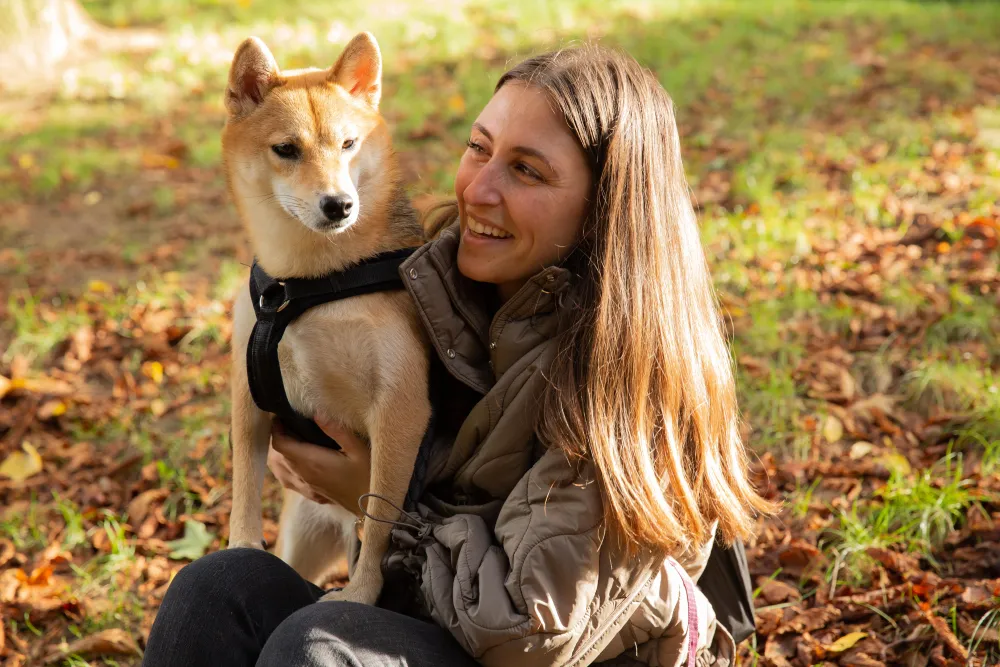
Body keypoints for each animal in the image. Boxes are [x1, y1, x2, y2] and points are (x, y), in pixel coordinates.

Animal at [221, 32, 431, 604]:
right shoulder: (248, 396)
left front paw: (360, 594)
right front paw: (240, 549)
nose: (339, 205)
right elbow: (244, 489)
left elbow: (379, 520)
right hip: (303, 536)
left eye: (348, 144)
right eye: (286, 150)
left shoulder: (401, 410)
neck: (309, 283)